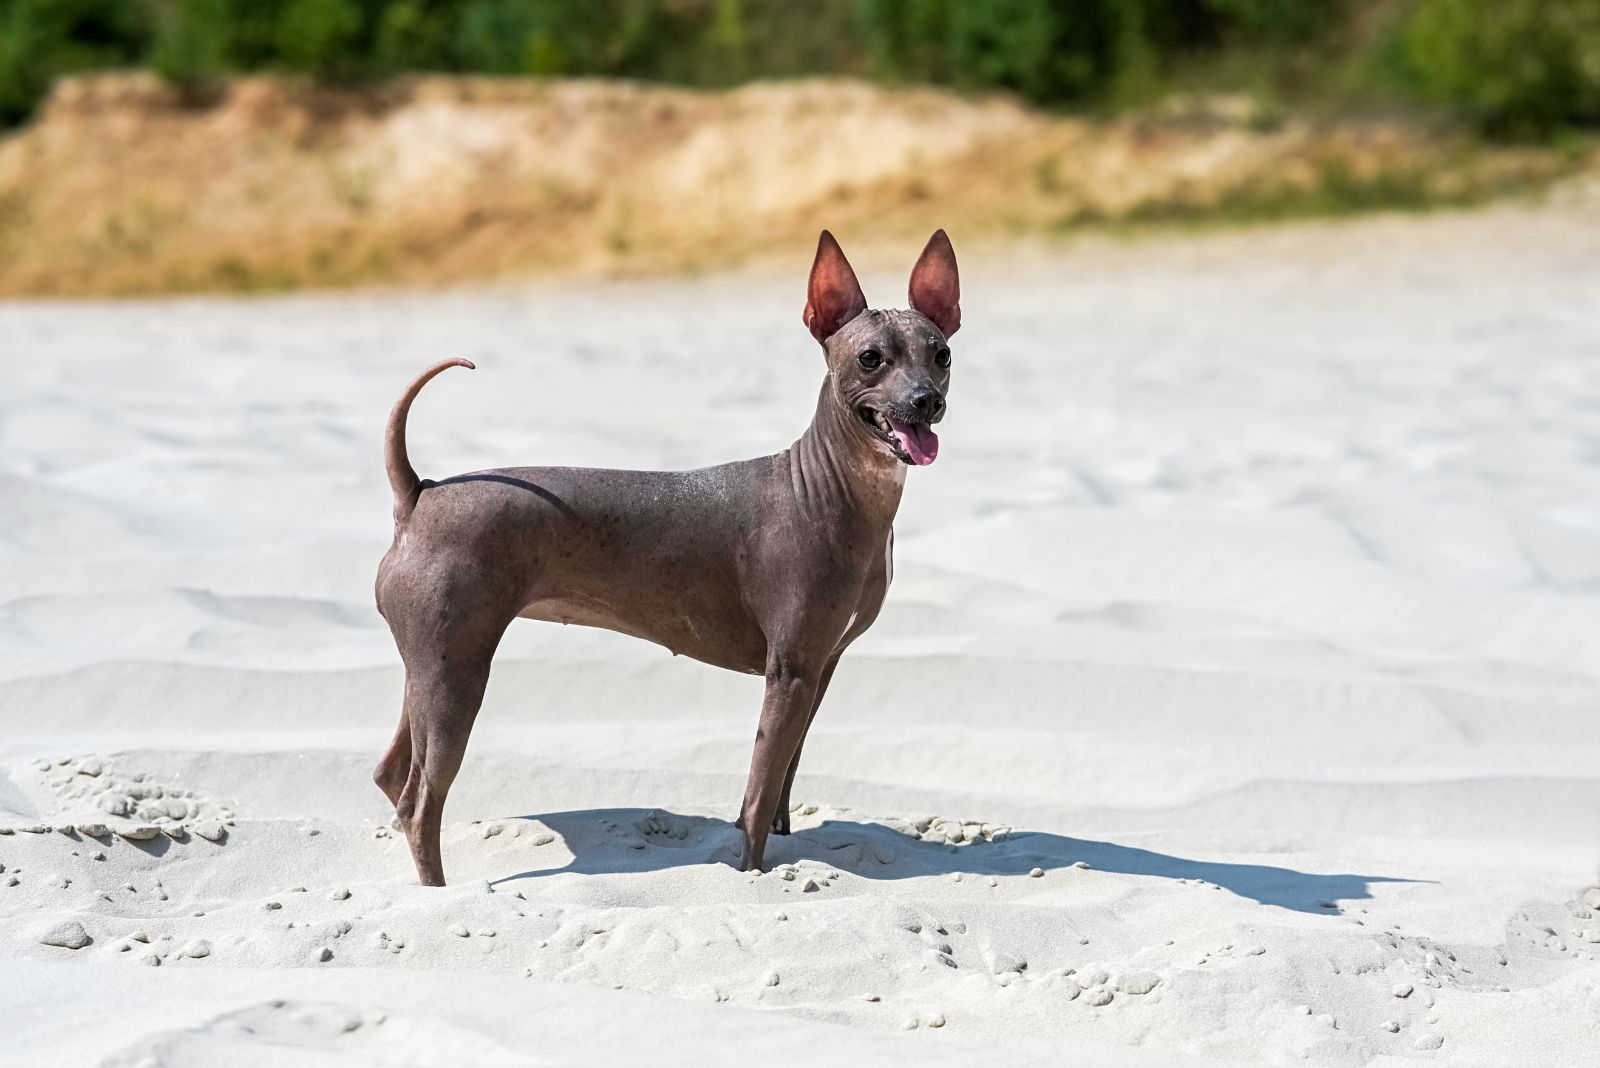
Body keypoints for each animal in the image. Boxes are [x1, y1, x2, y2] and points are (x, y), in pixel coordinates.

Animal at [368, 231, 953, 882]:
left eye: (941, 356)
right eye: (871, 359)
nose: (926, 402)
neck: (830, 486)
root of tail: (419, 492)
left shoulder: (819, 670)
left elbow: (783, 782)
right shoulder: (790, 671)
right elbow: (757, 798)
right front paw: (748, 875)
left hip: (431, 665)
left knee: (392, 774)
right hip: (457, 675)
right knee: (421, 801)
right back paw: (441, 891)